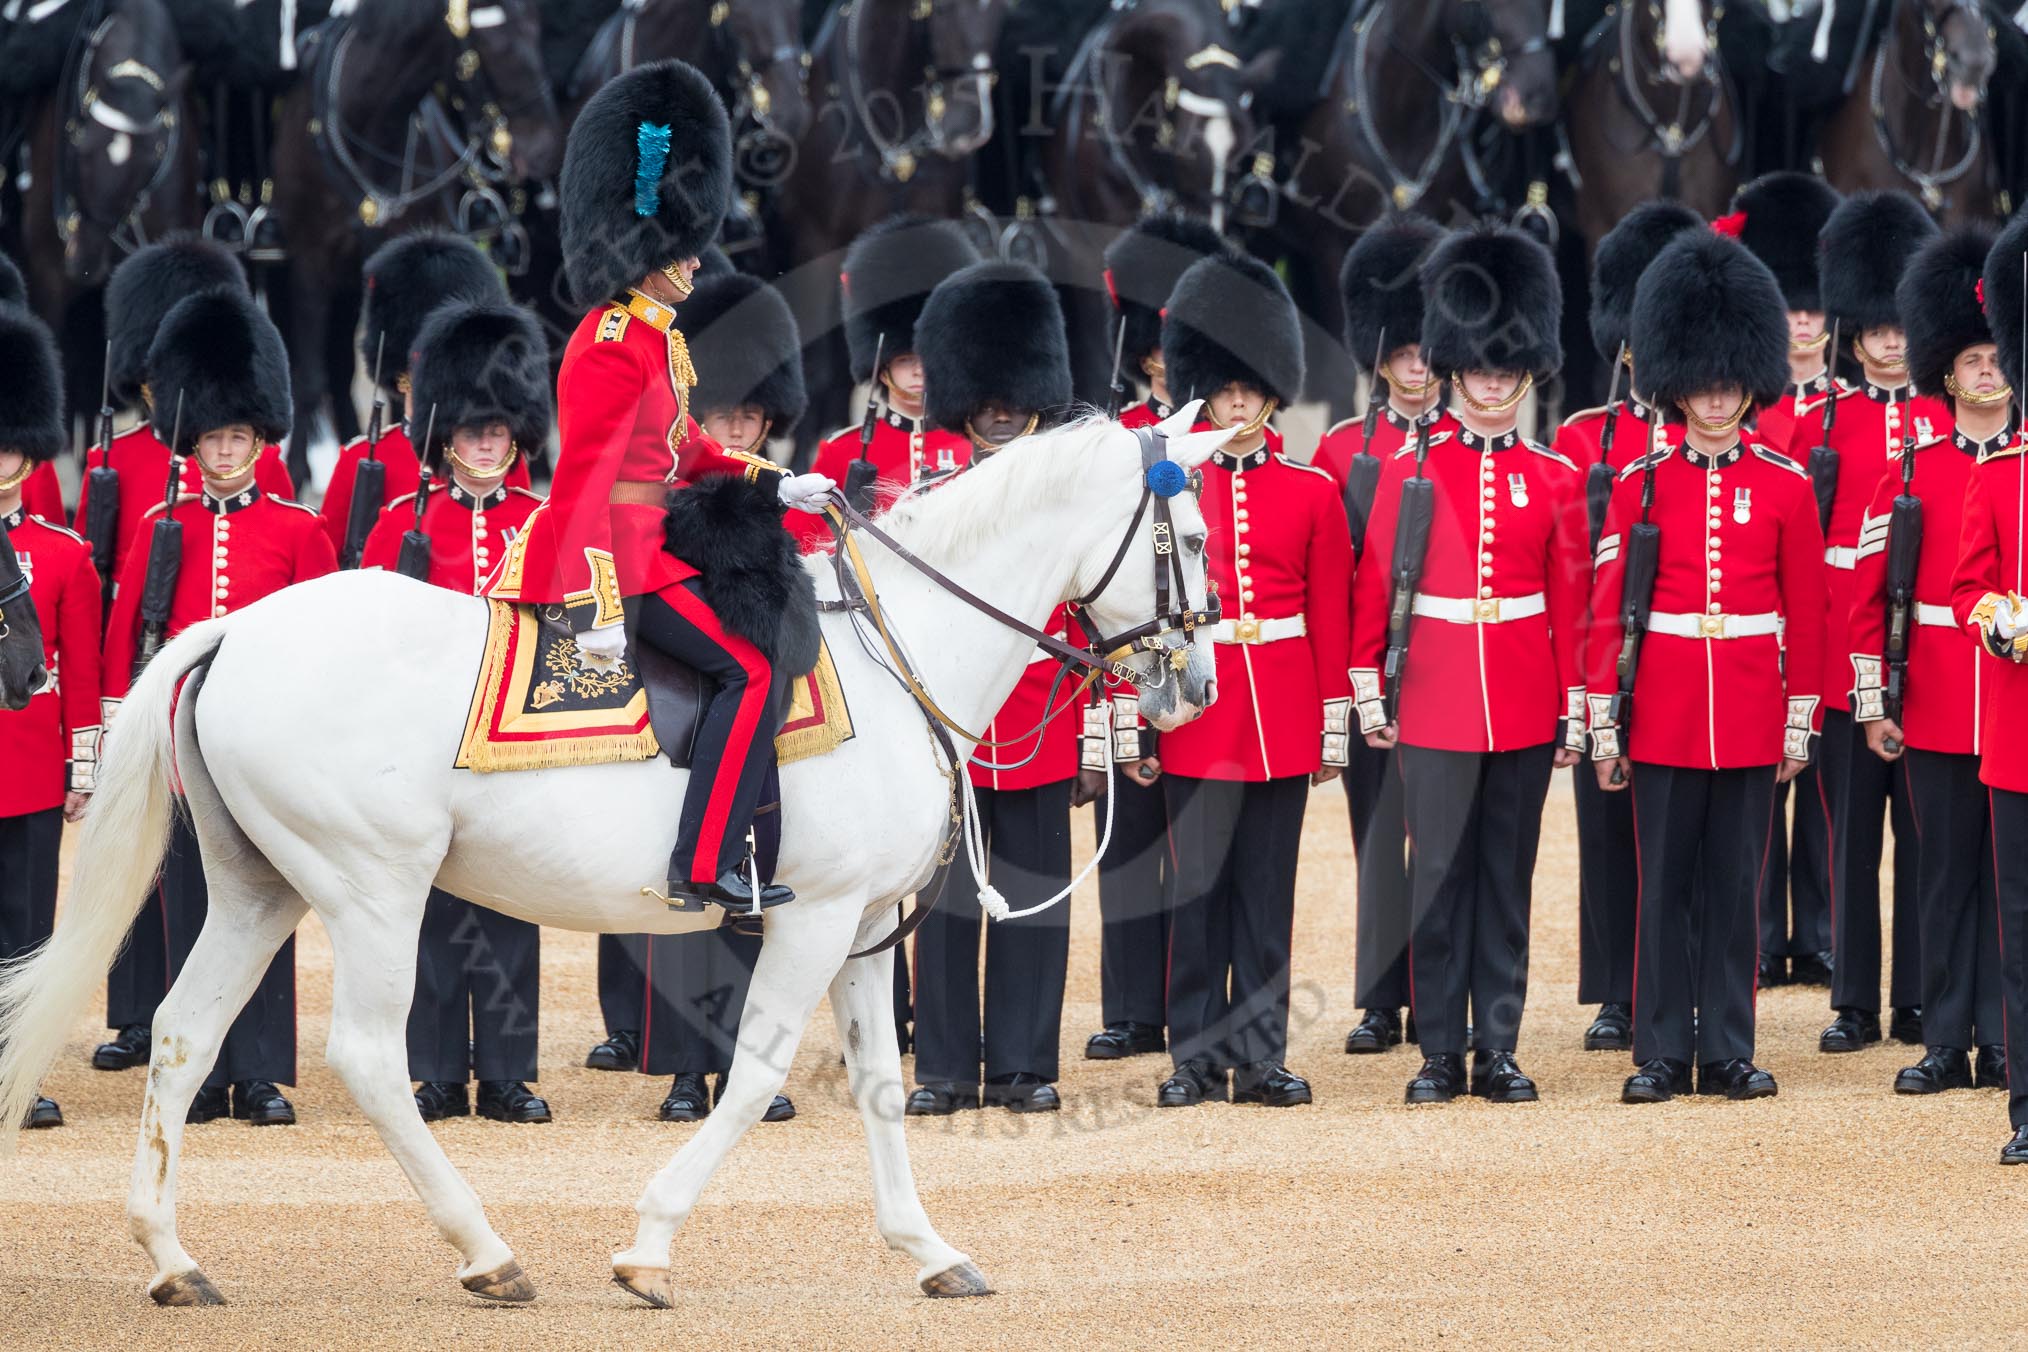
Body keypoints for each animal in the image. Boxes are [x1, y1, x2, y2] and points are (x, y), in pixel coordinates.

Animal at [0, 409, 1230, 1309]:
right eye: (1195, 536)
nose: (1198, 684)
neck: (901, 653)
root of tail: (237, 628)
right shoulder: (812, 916)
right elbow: (758, 1075)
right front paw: (648, 1246)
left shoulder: (865, 928)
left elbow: (881, 1081)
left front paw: (927, 1248)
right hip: (372, 887)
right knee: (365, 1055)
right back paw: (486, 1249)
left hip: (262, 887)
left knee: (180, 1034)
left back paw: (173, 1258)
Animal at [267, 0, 563, 486]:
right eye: (488, 43)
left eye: (535, 28)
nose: (543, 152)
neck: (368, 121)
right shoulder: (311, 264)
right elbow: (309, 380)